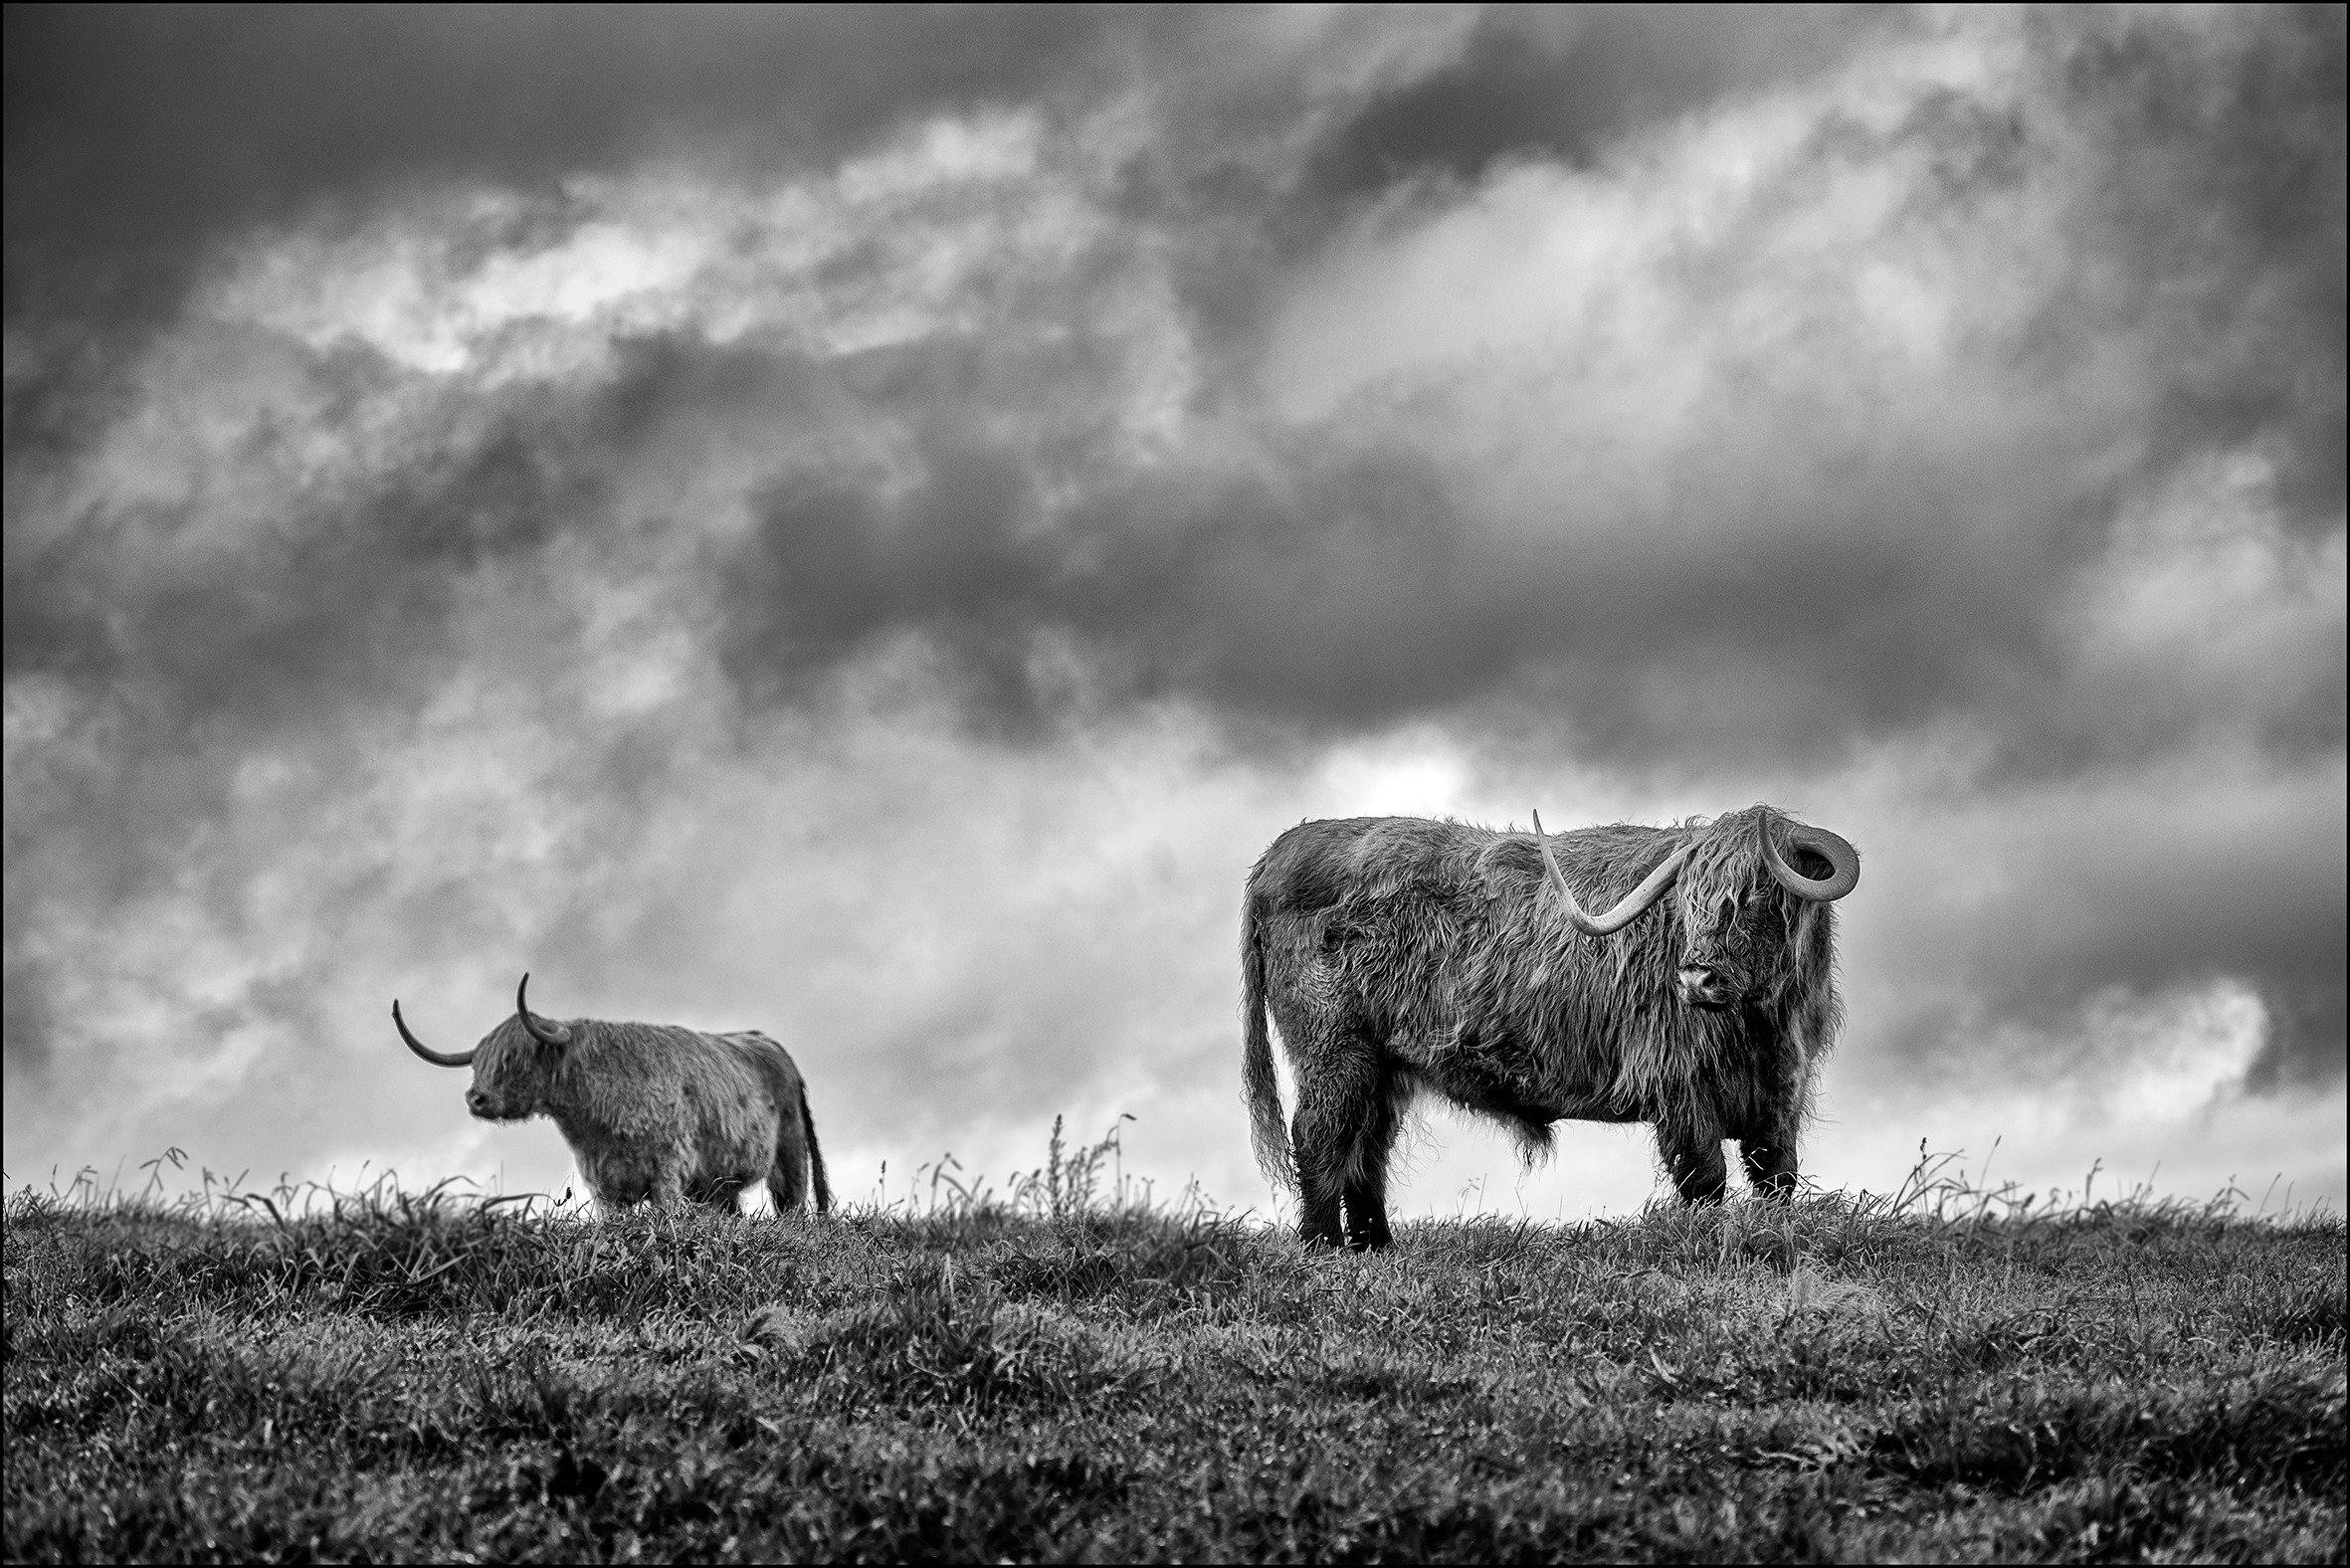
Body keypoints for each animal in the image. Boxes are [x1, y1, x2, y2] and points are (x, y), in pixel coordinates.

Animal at [394, 975, 831, 1216]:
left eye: (514, 1057)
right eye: (478, 1063)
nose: (476, 1099)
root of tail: (768, 1043)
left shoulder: (668, 1171)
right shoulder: (604, 1187)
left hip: (790, 1156)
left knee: (793, 1207)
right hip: (718, 1182)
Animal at [1241, 805, 1859, 1249]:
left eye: (1760, 894)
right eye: (1688, 900)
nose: (1696, 976)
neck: (1762, 1025)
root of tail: (1278, 853)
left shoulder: (1782, 1092)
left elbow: (1777, 1175)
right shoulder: (1680, 1087)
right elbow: (1704, 1179)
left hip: (1383, 1067)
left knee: (1366, 1149)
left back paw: (1376, 1249)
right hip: (1334, 1050)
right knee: (1321, 1138)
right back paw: (1322, 1249)